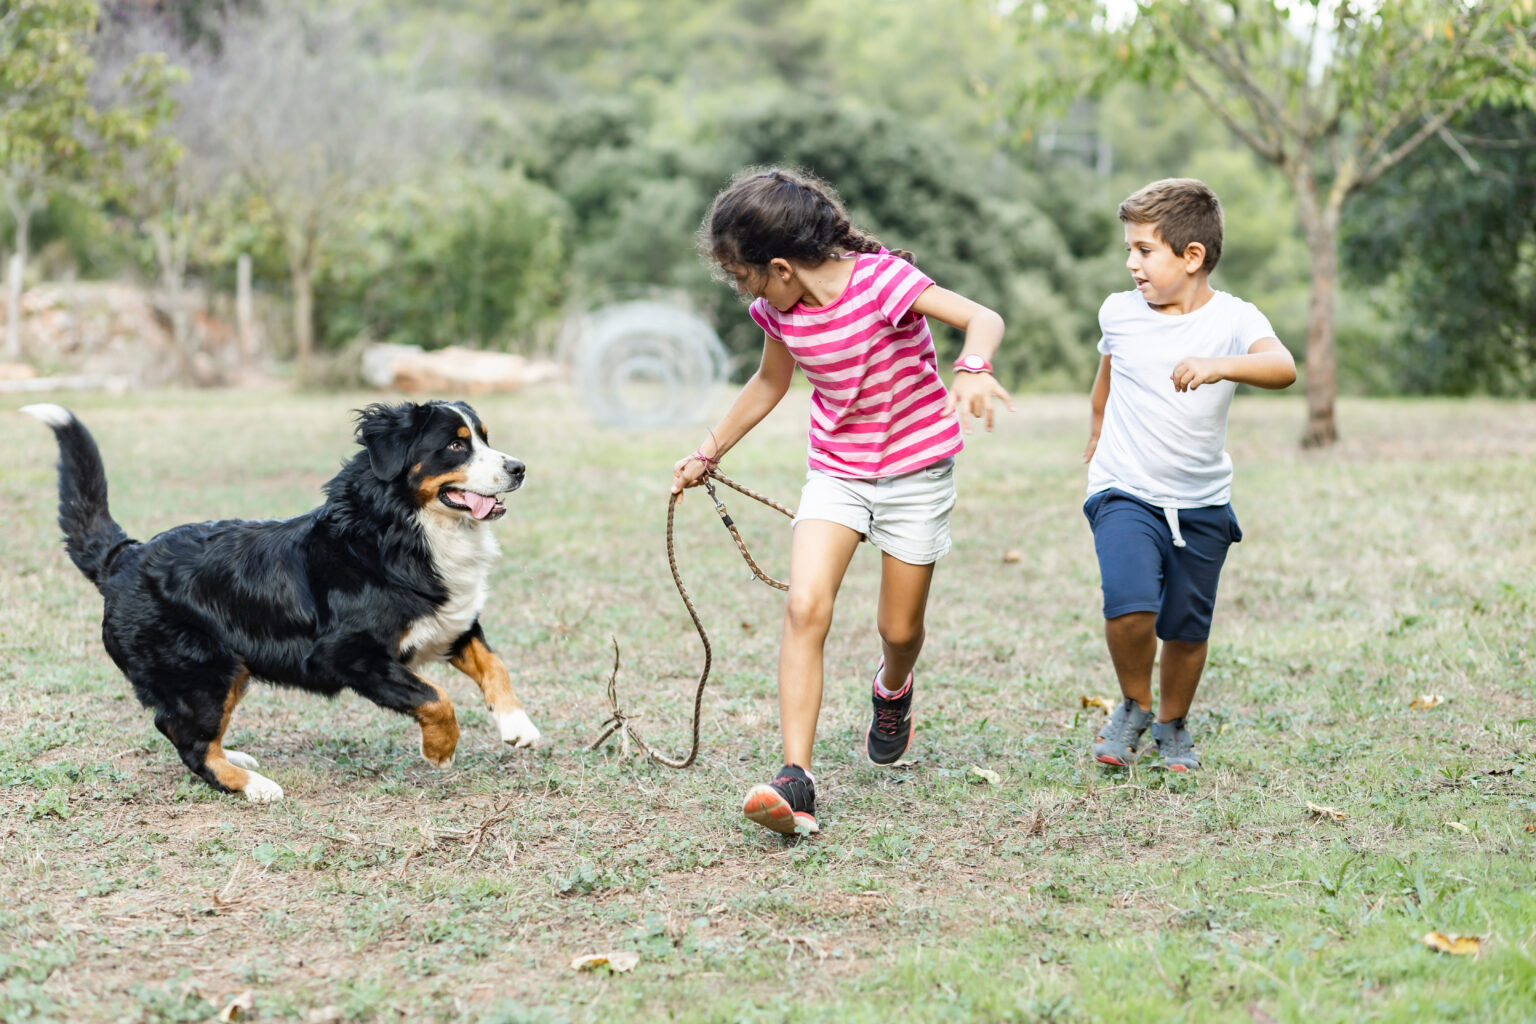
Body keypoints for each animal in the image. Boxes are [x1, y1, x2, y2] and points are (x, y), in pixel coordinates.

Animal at [22, 399, 540, 798]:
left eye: (485, 438)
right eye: (455, 445)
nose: (519, 468)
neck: (400, 531)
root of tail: (124, 558)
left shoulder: (452, 624)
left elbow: (494, 665)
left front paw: (518, 726)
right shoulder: (349, 654)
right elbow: (435, 698)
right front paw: (440, 750)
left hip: (227, 671)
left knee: (186, 731)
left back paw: (235, 756)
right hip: (202, 672)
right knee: (188, 740)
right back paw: (252, 785)